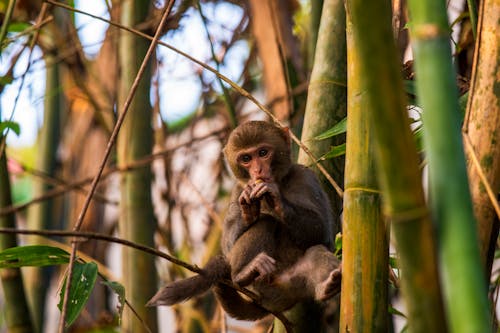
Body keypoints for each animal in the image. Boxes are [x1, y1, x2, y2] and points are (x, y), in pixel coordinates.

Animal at [146, 120, 342, 320]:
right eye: (246, 158)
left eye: (263, 153)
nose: (258, 170)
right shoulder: (237, 189)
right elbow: (228, 245)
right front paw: (247, 210)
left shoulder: (307, 177)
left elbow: (323, 233)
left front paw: (275, 198)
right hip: (263, 284)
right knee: (265, 222)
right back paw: (242, 275)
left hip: (295, 283)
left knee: (315, 251)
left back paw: (327, 287)